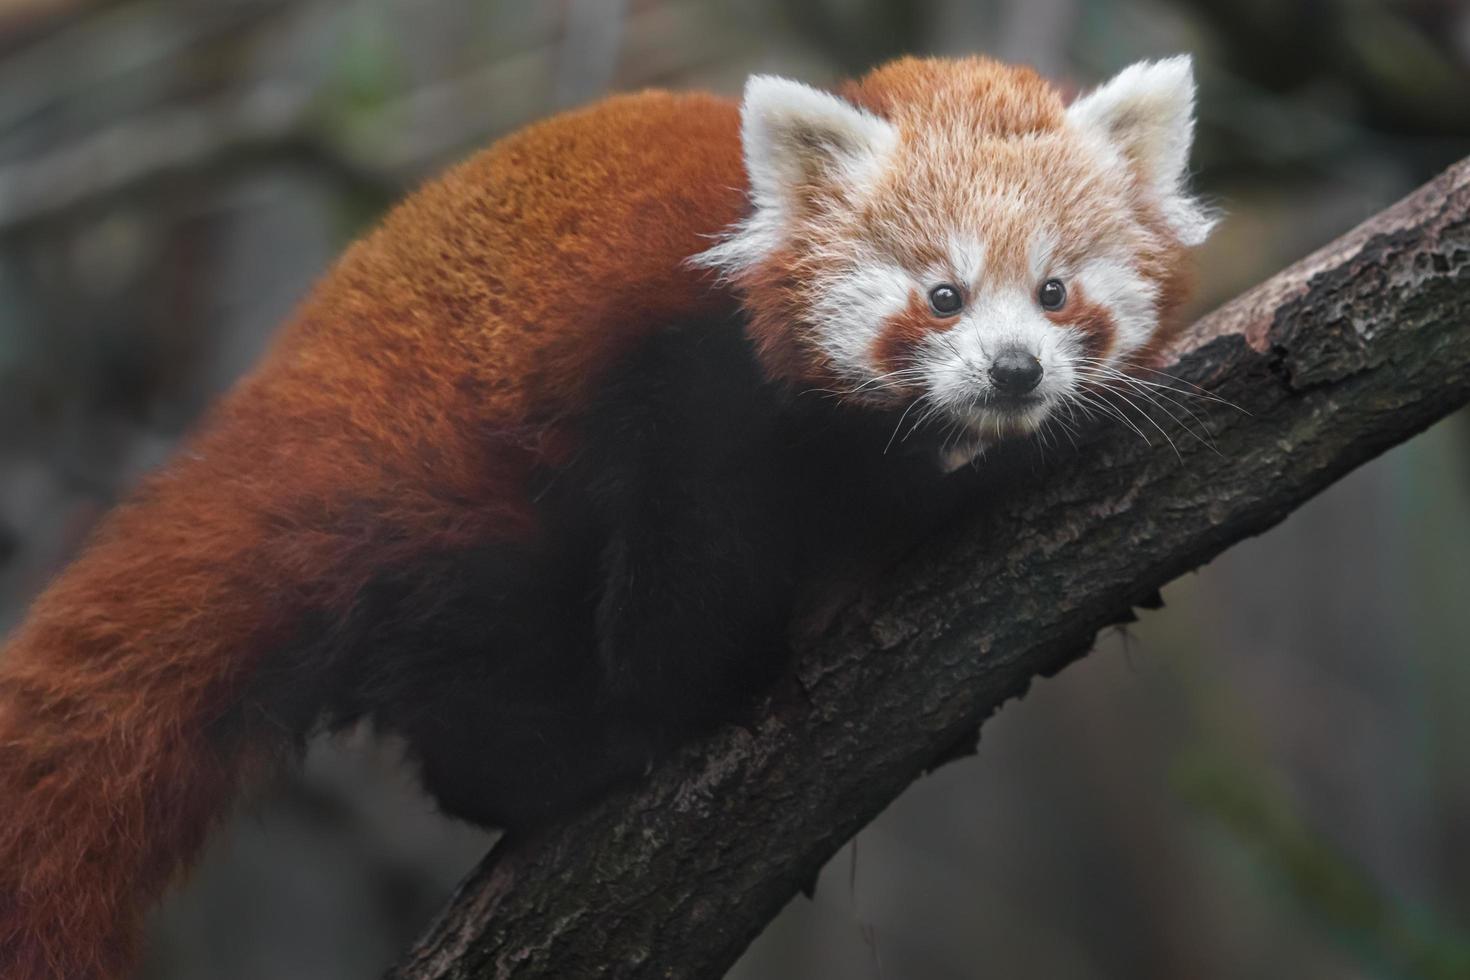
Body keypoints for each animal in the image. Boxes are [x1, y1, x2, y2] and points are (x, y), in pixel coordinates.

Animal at [0, 55, 1211, 980]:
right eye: (943, 296)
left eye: (1055, 291)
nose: (1014, 374)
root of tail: (273, 419)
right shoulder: (684, 391)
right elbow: (677, 612)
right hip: (447, 495)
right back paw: (566, 752)